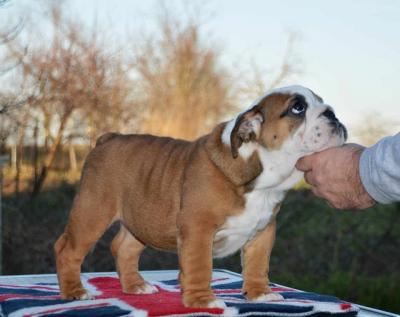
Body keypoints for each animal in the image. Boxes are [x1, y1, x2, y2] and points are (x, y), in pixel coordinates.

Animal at [54, 85, 346, 308]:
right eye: (297, 108)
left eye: (321, 102)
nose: (332, 113)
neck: (260, 180)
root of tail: (108, 138)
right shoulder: (198, 229)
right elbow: (200, 266)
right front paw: (202, 301)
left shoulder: (263, 232)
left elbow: (257, 265)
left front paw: (260, 293)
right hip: (93, 210)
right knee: (67, 249)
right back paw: (75, 292)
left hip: (141, 219)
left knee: (123, 247)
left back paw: (136, 286)